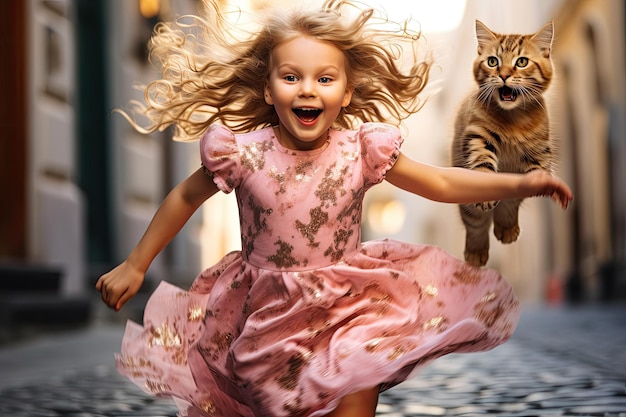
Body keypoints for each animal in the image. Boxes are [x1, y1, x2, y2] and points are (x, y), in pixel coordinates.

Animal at [450, 19, 552, 264]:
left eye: (522, 62)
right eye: (493, 61)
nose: (504, 75)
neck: (513, 119)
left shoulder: (539, 147)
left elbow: (538, 169)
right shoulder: (477, 135)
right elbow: (483, 161)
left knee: (508, 205)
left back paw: (506, 229)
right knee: (476, 223)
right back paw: (475, 253)